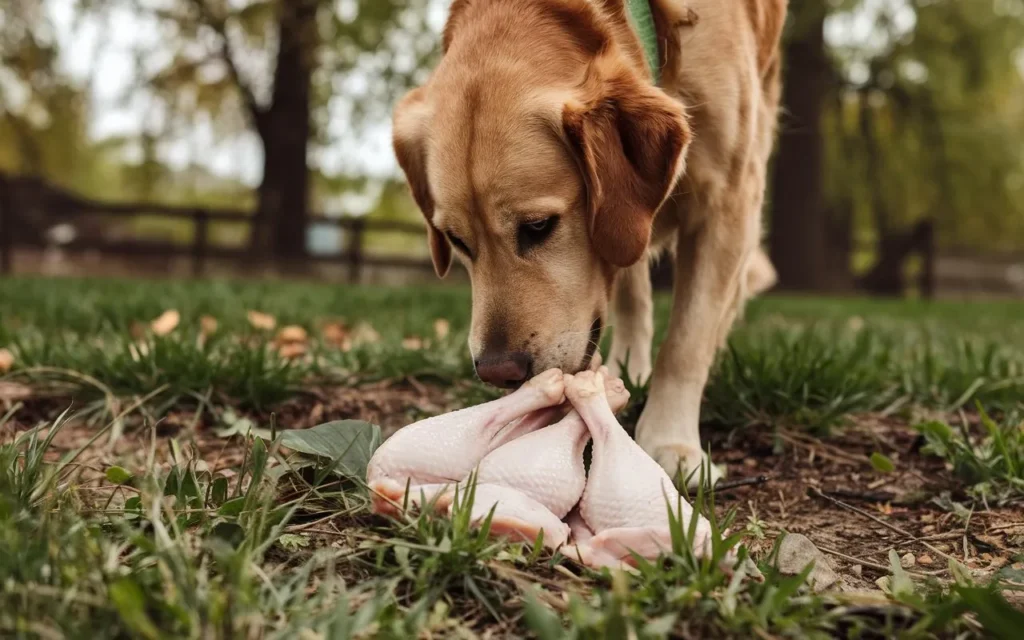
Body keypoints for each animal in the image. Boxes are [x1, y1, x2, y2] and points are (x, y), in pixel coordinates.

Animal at [391, 0, 782, 481]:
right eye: (456, 240)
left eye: (539, 226)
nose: (499, 372)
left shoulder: (728, 196)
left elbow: (687, 342)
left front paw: (670, 440)